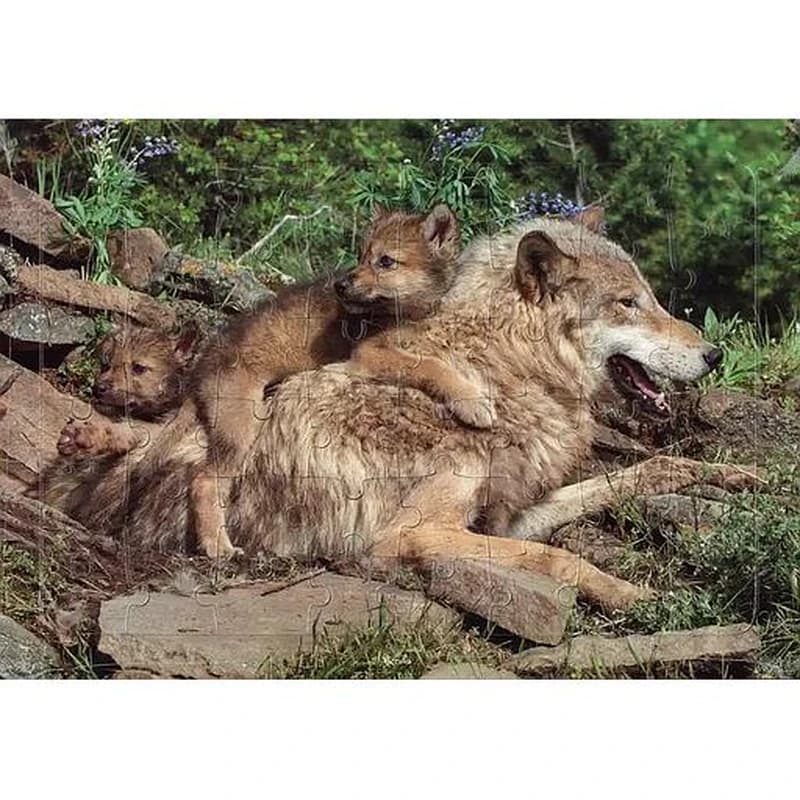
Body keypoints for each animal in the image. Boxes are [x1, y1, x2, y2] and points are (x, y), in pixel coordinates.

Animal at [63, 208, 724, 609]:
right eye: (629, 303)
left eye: (651, 297)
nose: (714, 354)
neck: (503, 370)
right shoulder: (414, 535)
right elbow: (559, 559)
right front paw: (637, 596)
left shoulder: (509, 516)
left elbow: (638, 474)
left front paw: (727, 475)